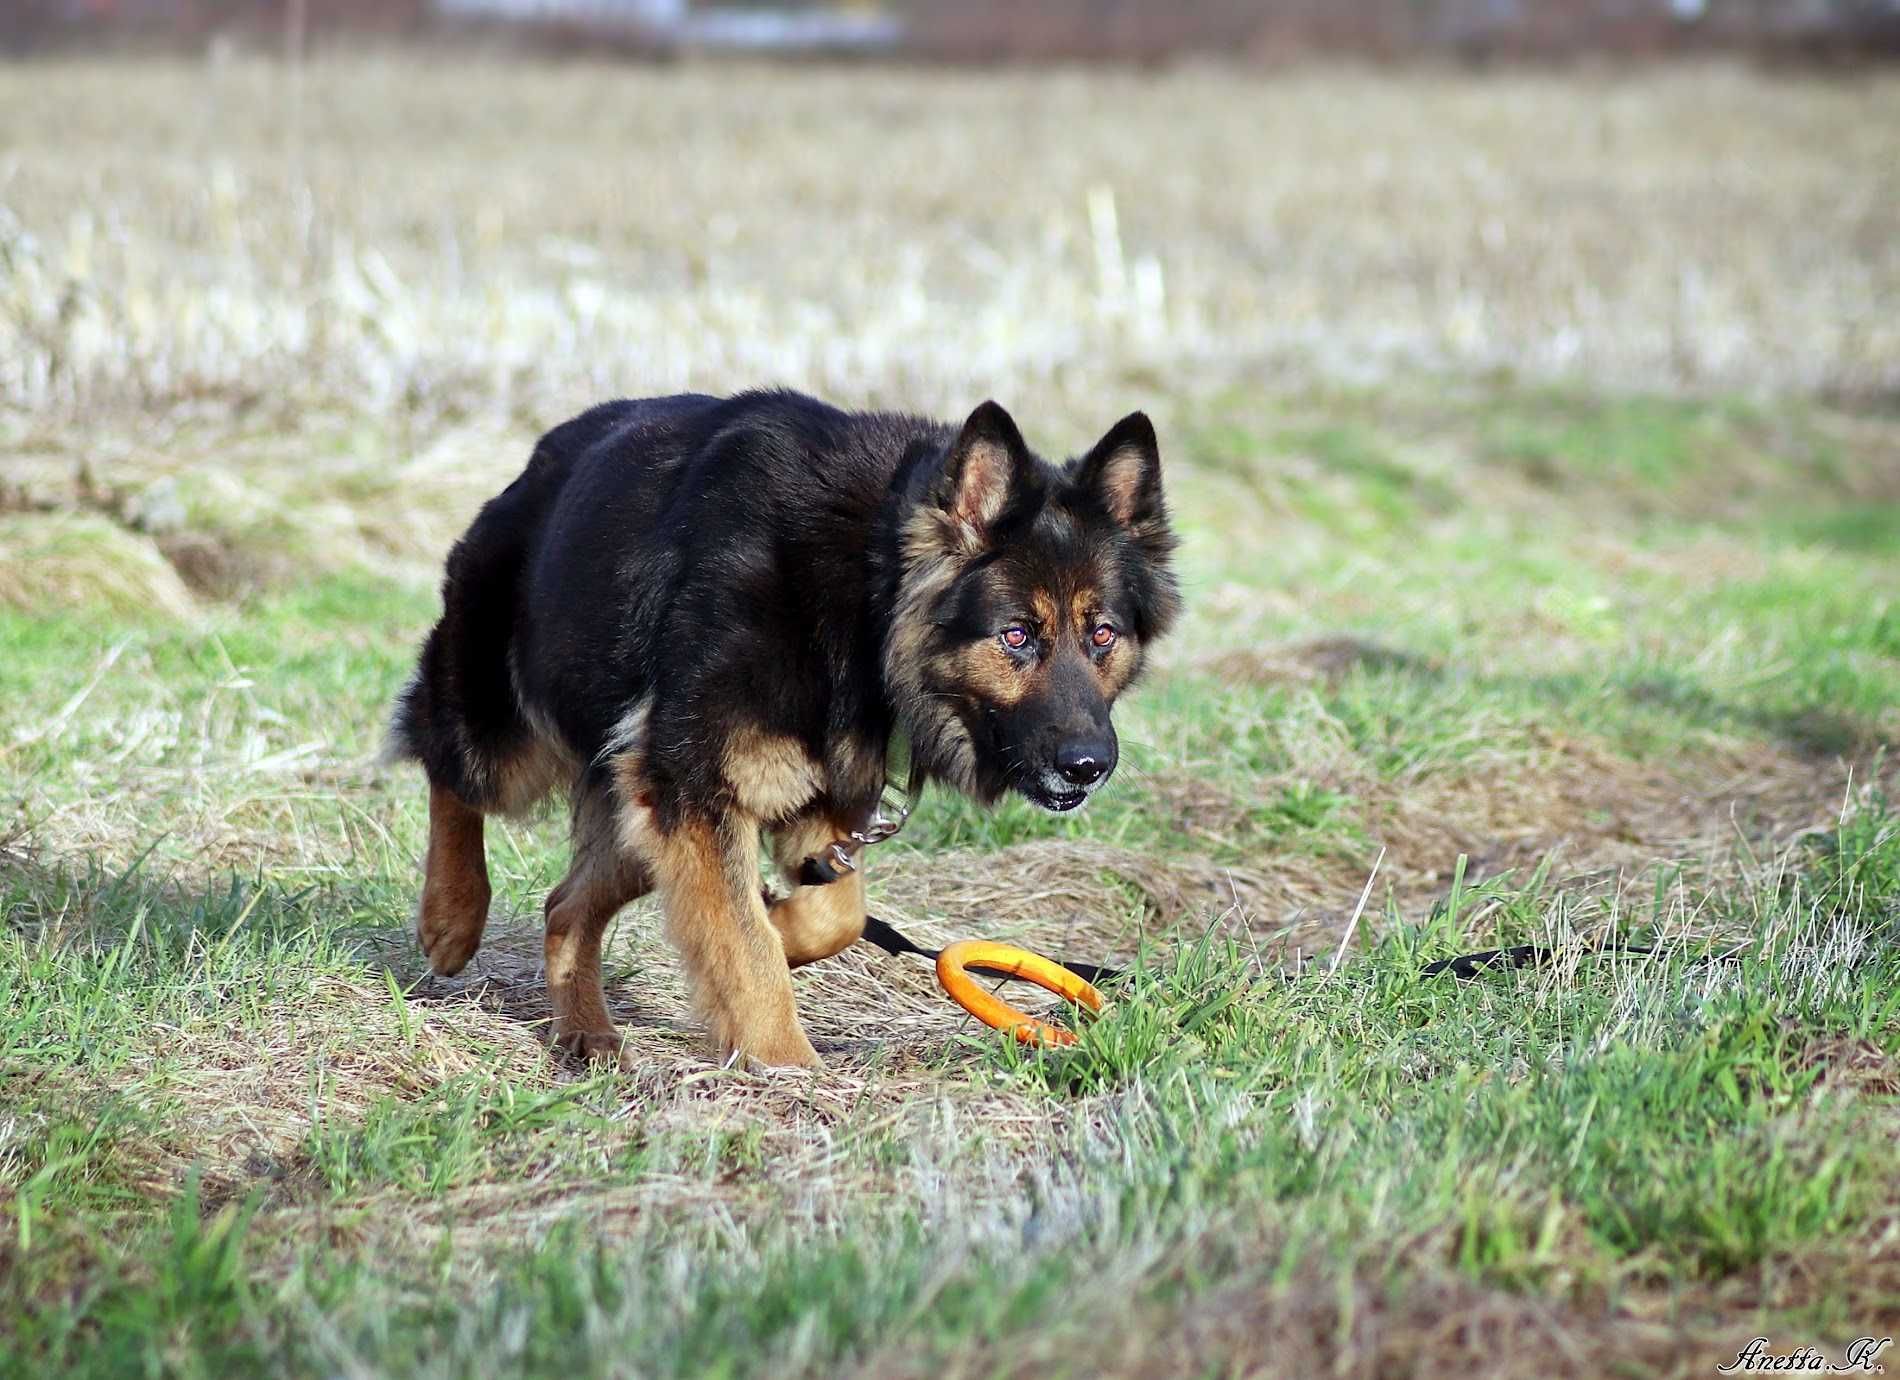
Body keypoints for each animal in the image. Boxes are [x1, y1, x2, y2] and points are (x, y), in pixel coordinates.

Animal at [385, 389, 1170, 1072]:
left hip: (637, 813)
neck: (865, 584)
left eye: (1101, 634)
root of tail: (540, 460)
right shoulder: (697, 789)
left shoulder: (817, 803)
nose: (1089, 765)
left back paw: (585, 1032)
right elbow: (745, 950)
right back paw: (452, 917)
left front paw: (782, 922)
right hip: (511, 735)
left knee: (564, 907)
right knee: (447, 765)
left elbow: (833, 916)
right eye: (1016, 635)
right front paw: (788, 1067)